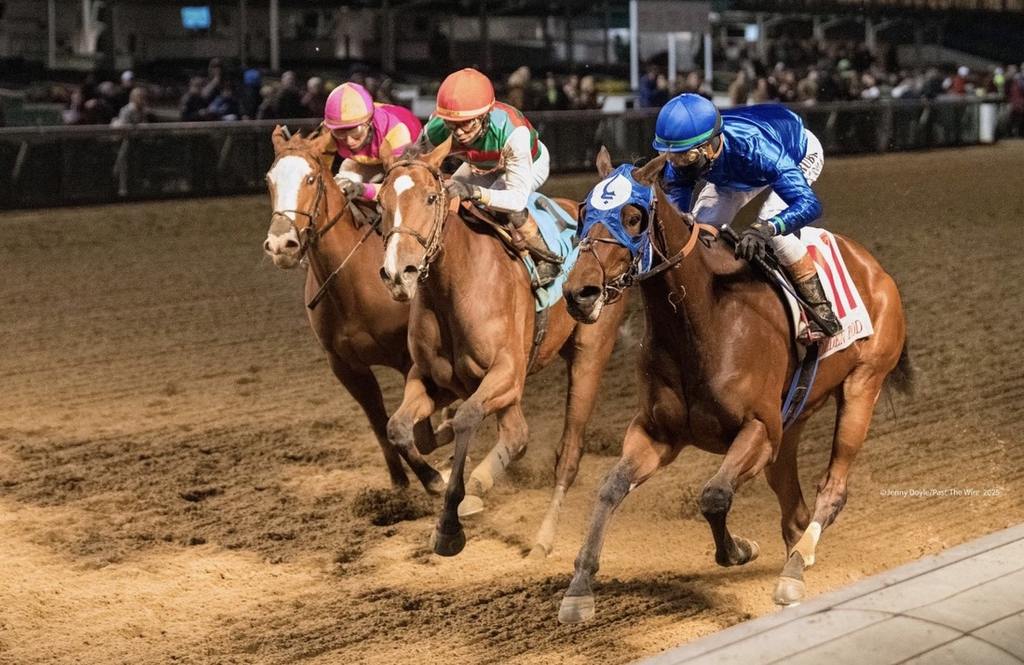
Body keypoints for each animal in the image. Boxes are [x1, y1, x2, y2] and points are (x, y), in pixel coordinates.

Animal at [262, 125, 444, 495]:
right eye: (268, 179)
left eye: (311, 178)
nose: (280, 244)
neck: (353, 285)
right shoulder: (346, 366)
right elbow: (380, 424)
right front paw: (400, 486)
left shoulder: (409, 358)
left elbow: (418, 429)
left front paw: (435, 473)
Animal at [375, 136, 629, 558]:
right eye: (380, 202)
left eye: (431, 198)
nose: (399, 273)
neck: (453, 286)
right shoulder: (431, 377)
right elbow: (400, 428)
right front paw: (435, 476)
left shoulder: (507, 374)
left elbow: (466, 419)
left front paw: (449, 523)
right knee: (516, 434)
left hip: (589, 353)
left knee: (564, 450)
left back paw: (542, 536)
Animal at [557, 148, 911, 623]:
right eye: (582, 213)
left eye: (632, 217)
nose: (580, 293)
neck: (704, 319)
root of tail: (875, 270)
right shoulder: (657, 432)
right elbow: (610, 488)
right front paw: (579, 588)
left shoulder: (758, 429)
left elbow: (714, 495)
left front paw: (740, 549)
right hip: (792, 421)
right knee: (794, 509)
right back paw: (797, 557)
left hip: (863, 385)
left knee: (832, 491)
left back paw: (793, 574)